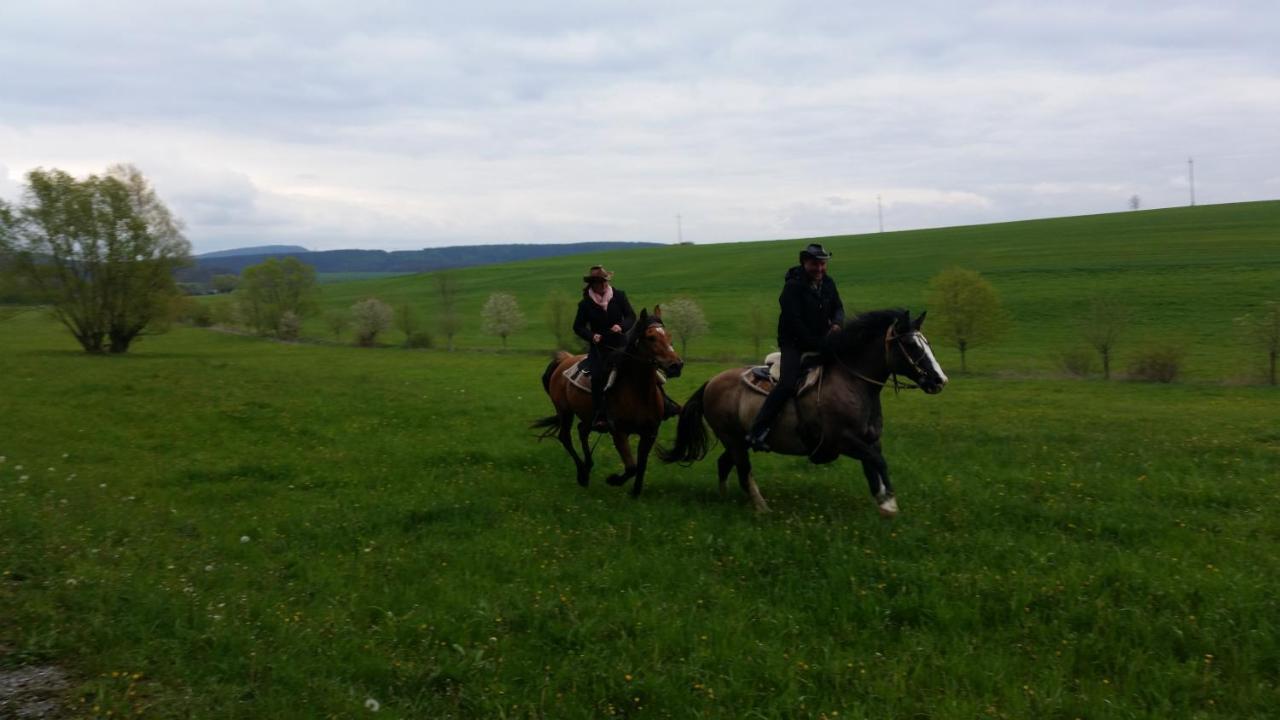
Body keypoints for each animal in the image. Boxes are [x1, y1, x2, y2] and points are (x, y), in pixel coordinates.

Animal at [535, 304, 686, 497]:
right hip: (565, 411)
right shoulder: (619, 432)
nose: (676, 366)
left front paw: (635, 493)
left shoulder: (650, 433)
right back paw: (582, 474)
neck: (639, 392)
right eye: (651, 337)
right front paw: (613, 480)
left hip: (587, 416)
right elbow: (631, 467)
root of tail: (565, 359)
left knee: (582, 431)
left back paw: (588, 467)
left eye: (669, 336)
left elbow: (641, 466)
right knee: (565, 437)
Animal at [665, 308, 947, 515]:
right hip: (733, 439)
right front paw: (889, 501)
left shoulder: (869, 439)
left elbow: (873, 466)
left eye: (927, 343)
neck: (852, 383)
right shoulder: (842, 440)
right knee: (744, 473)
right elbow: (878, 461)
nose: (940, 380)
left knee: (724, 464)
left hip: (736, 442)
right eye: (911, 345)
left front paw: (883, 501)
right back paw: (762, 508)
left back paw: (725, 499)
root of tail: (711, 382)